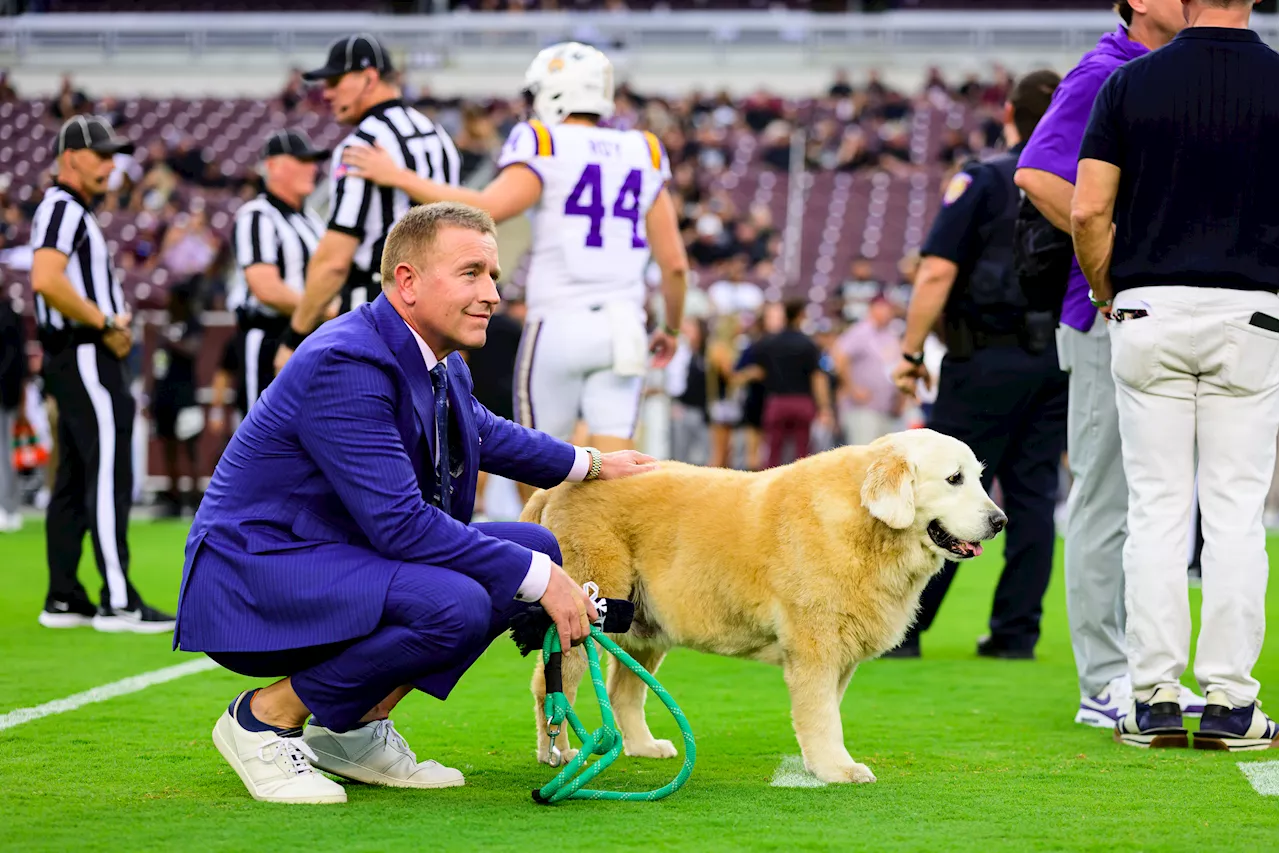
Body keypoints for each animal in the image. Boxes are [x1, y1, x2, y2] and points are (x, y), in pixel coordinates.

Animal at [524, 427, 1003, 778]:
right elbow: (822, 714)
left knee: (626, 690)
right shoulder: (815, 646)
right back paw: (558, 753)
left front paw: (824, 764)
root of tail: (557, 489)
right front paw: (838, 770)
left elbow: (826, 711)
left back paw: (643, 747)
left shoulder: (841, 652)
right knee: (553, 687)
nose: (1000, 520)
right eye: (954, 479)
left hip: (642, 626)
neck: (865, 526)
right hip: (583, 613)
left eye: (980, 477)